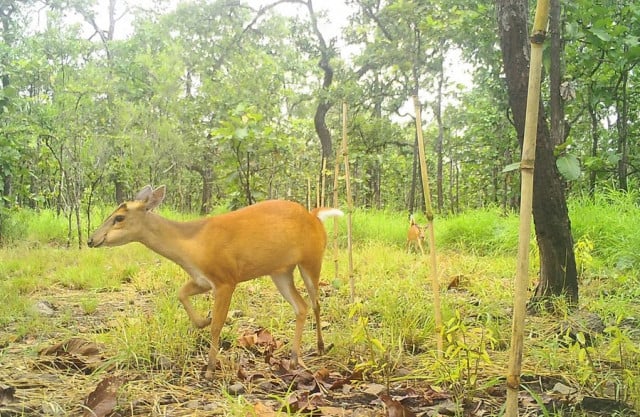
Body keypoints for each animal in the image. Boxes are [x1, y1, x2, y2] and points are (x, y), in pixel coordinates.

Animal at [89, 184, 344, 378]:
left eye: (119, 217)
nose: (92, 240)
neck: (191, 244)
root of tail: (314, 216)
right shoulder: (203, 279)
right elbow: (181, 293)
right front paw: (203, 320)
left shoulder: (226, 279)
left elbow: (217, 326)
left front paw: (210, 369)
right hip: (280, 271)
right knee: (301, 306)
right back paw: (292, 358)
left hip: (311, 259)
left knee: (315, 303)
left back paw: (319, 348)